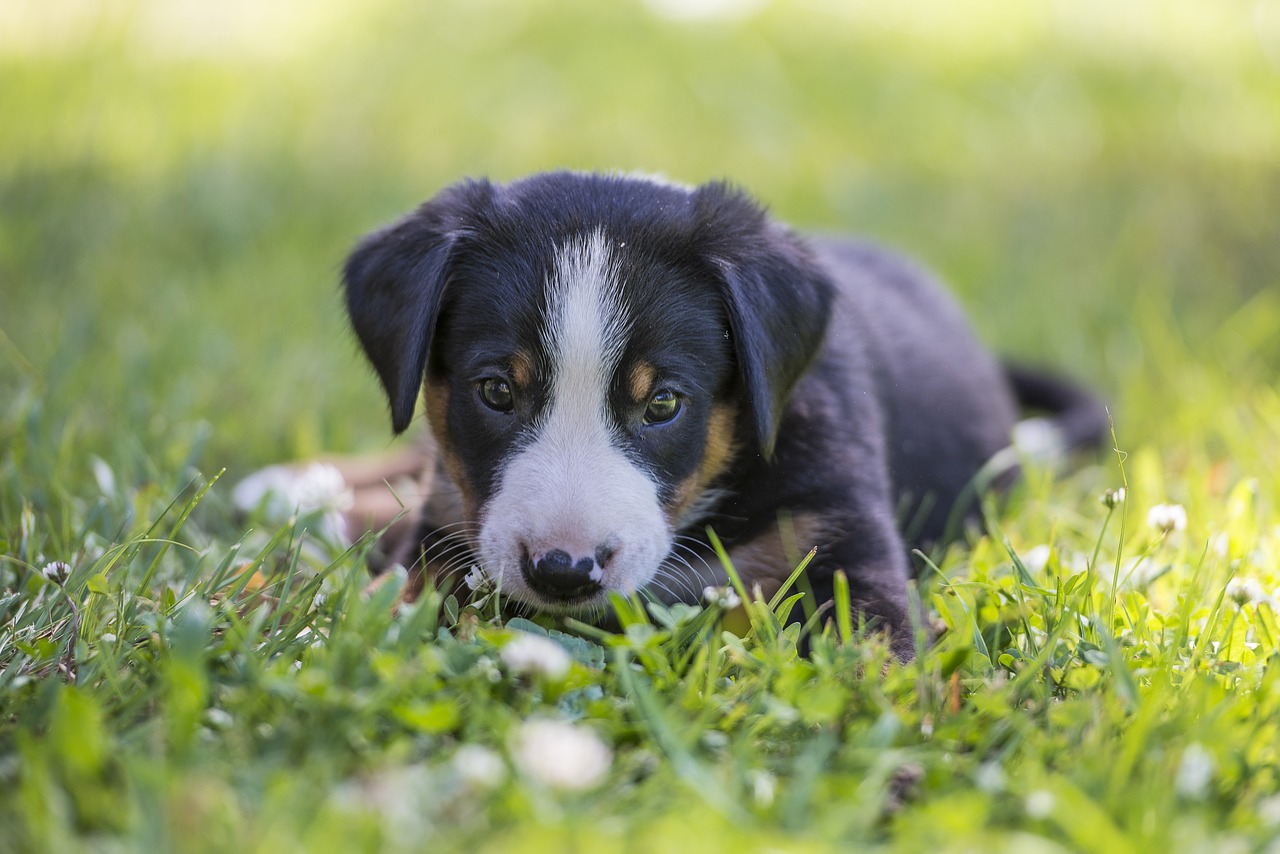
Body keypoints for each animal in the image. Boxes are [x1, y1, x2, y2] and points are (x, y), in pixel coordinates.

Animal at [296, 170, 1100, 660]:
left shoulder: (845, 539)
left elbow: (875, 653)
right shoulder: (447, 531)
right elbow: (398, 598)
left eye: (662, 404)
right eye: (495, 391)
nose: (564, 571)